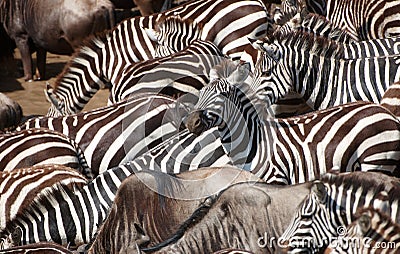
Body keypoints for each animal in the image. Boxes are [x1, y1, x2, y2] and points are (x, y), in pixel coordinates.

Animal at [184, 59, 400, 185]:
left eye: (222, 95)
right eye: (200, 93)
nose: (191, 122)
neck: (255, 140)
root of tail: (384, 112)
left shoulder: (276, 178)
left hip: (376, 160)